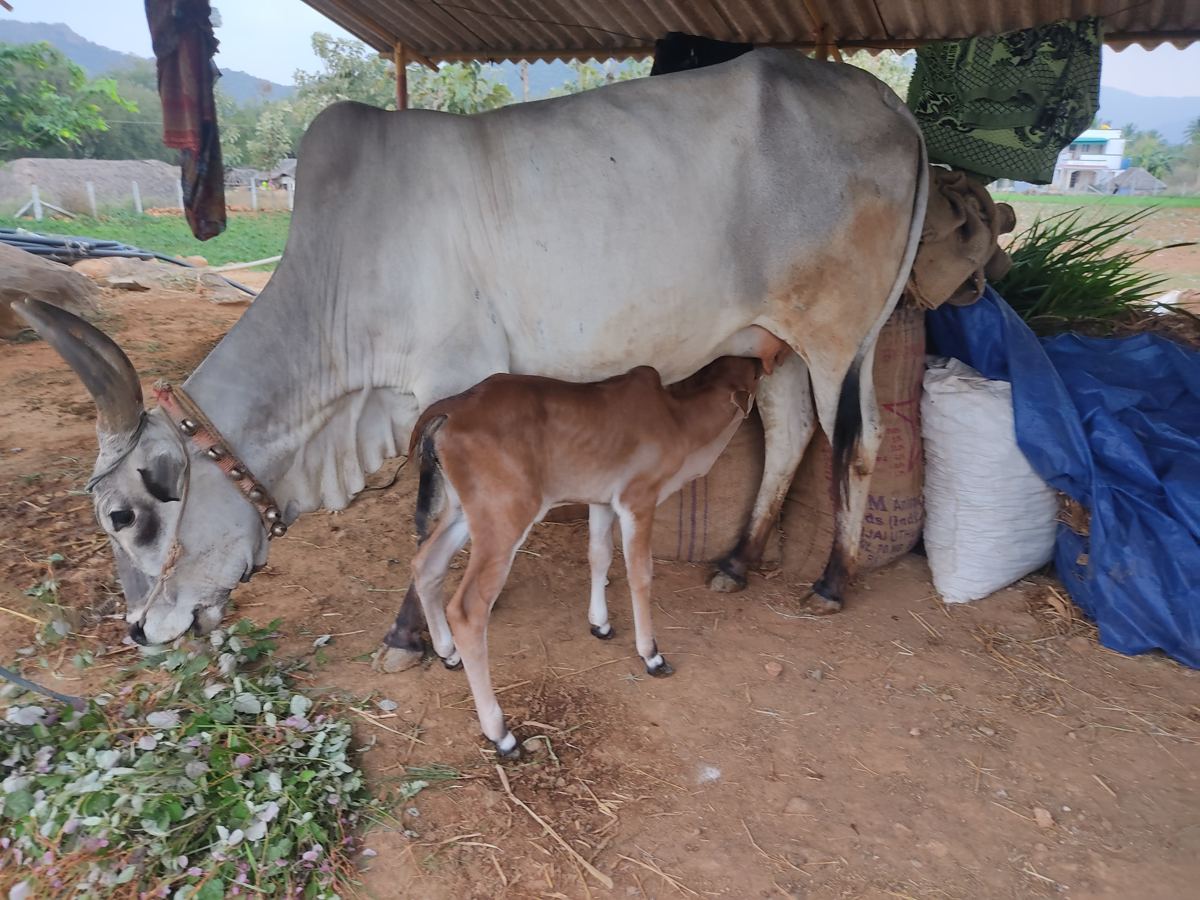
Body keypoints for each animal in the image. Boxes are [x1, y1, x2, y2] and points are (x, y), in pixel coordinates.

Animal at [14, 49, 928, 655]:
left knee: (857, 441)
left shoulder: (447, 389)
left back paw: (831, 581)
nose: (139, 630)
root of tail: (889, 104)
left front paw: (410, 632)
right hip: (768, 336)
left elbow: (428, 514)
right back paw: (740, 559)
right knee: (789, 429)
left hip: (842, 332)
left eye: (123, 516)